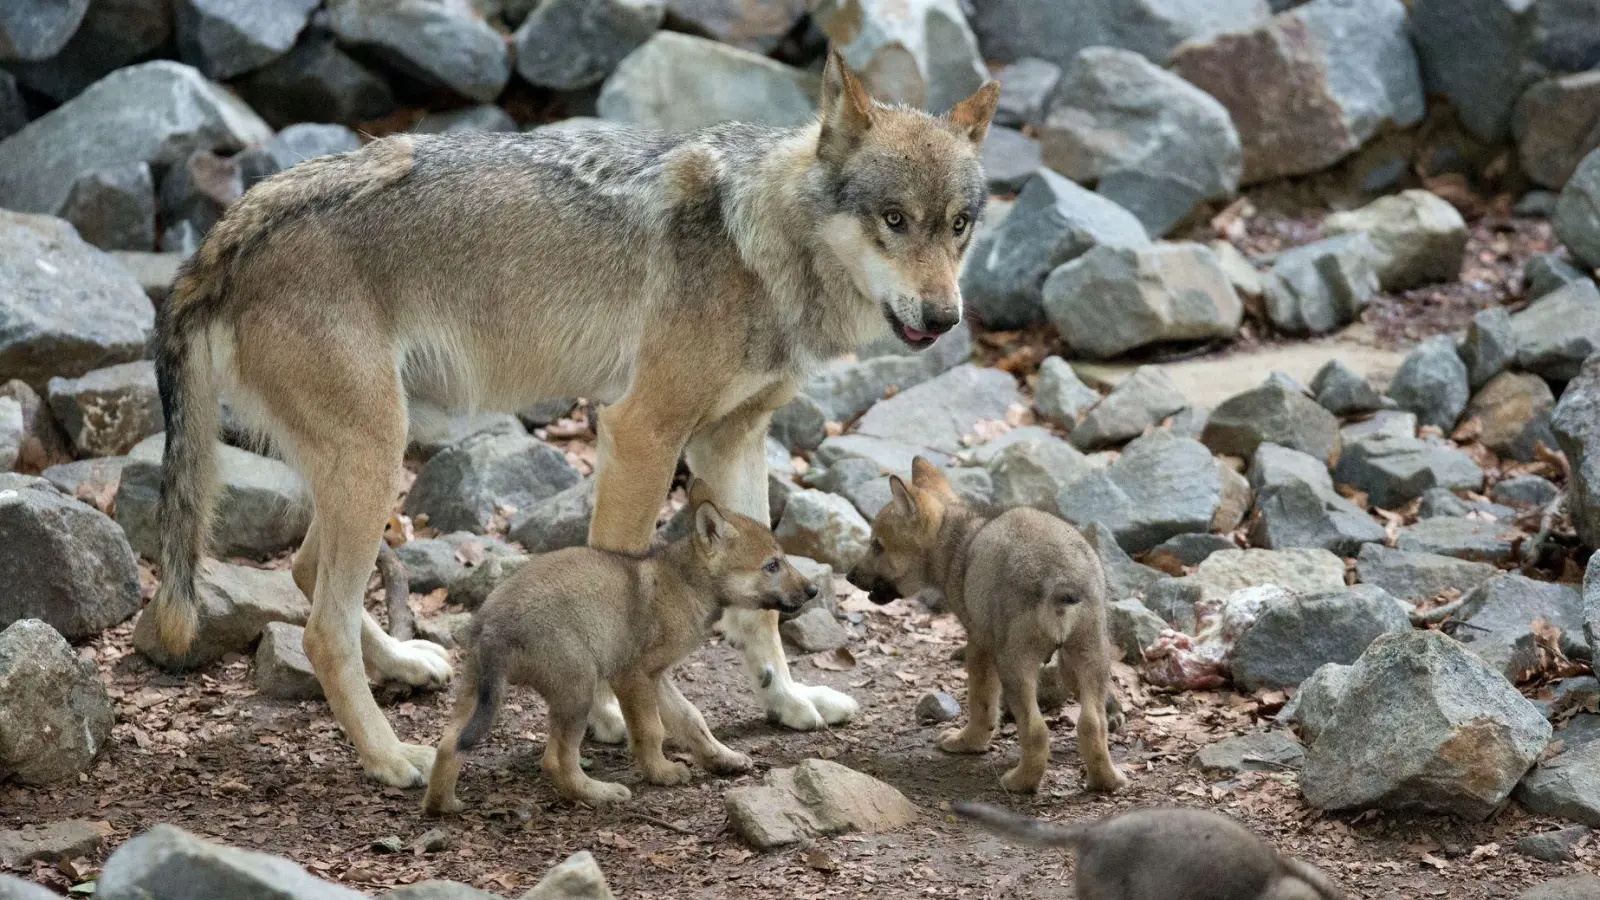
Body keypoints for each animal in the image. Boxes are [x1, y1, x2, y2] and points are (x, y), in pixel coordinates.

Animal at [425, 480, 812, 810]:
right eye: (772, 565)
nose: (813, 590)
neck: (686, 582)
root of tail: (493, 624)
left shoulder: (657, 677)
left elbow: (692, 718)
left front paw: (722, 758)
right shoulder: (632, 676)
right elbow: (651, 730)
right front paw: (661, 773)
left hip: (477, 692)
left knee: (448, 744)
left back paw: (442, 805)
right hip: (576, 689)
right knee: (555, 761)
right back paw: (600, 793)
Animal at [851, 458, 1126, 787]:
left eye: (877, 546)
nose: (849, 576)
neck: (956, 542)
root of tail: (1059, 578)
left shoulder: (979, 646)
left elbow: (981, 704)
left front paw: (966, 743)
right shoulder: (1067, 664)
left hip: (1016, 665)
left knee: (1036, 730)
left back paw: (1020, 783)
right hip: (1090, 654)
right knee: (1092, 724)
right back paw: (1106, 782)